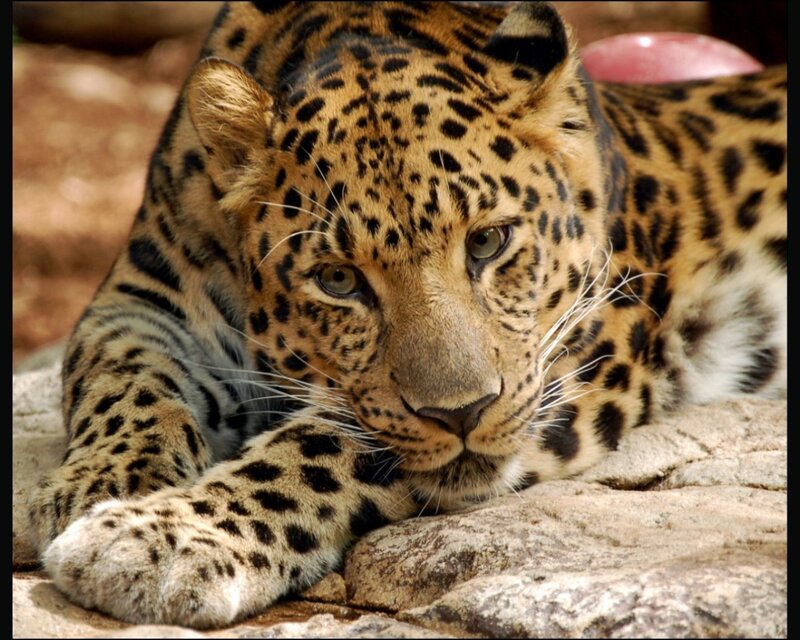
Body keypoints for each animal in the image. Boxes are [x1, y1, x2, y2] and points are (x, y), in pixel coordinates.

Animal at [28, 1, 786, 629]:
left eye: (488, 242)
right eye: (338, 280)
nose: (463, 413)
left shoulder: (579, 346)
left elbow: (321, 448)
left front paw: (157, 538)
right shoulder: (144, 296)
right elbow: (123, 377)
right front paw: (100, 483)